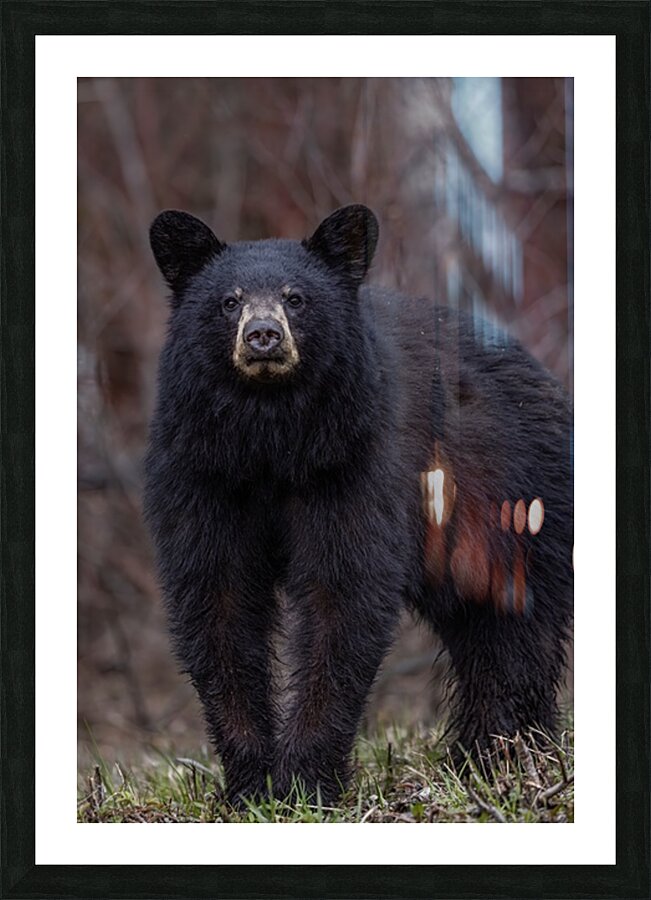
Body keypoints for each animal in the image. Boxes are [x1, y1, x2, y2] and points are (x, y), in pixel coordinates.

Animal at [145, 205, 573, 806]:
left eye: (295, 297)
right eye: (229, 300)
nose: (262, 336)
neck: (270, 437)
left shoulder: (354, 459)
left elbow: (342, 592)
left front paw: (306, 781)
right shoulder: (202, 471)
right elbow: (217, 596)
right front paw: (250, 783)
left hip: (514, 501)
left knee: (515, 633)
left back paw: (503, 754)